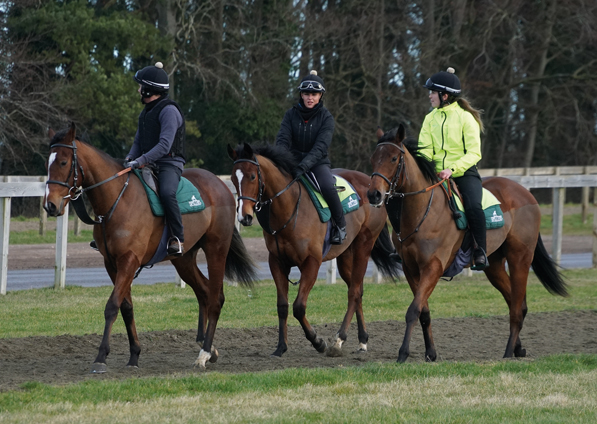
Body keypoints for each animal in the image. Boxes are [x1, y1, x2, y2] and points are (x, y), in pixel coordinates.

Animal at [42, 123, 256, 372]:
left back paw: (204, 353)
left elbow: (112, 306)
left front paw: (101, 356)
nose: (50, 205)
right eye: (48, 163)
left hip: (216, 250)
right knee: (203, 291)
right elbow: (126, 307)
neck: (118, 198)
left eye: (63, 162)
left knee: (215, 297)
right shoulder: (112, 264)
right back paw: (208, 347)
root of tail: (221, 185)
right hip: (183, 259)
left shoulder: (129, 260)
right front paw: (134, 354)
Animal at [227, 143, 400, 358]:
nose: (244, 217)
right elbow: (282, 306)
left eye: (252, 176)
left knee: (353, 292)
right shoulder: (277, 263)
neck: (290, 209)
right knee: (357, 290)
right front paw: (280, 347)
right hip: (345, 255)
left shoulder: (311, 263)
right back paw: (362, 340)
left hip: (364, 245)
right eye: (233, 179)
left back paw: (339, 340)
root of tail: (371, 185)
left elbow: (299, 307)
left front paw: (318, 341)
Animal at [366, 125, 564, 362]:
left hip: (520, 258)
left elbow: (413, 310)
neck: (422, 213)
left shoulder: (433, 267)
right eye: (373, 159)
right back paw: (518, 348)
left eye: (394, 158)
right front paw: (430, 352)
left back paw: (508, 353)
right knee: (516, 302)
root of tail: (527, 195)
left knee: (517, 307)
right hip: (494, 265)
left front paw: (403, 353)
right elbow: (423, 311)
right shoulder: (411, 269)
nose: (374, 194)